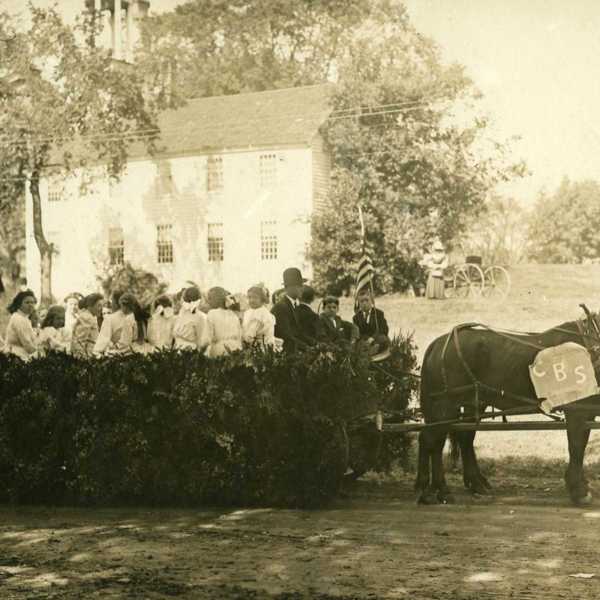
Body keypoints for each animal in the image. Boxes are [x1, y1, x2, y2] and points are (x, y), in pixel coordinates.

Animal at [414, 316, 600, 504]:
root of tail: (439, 343)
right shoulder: (577, 411)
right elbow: (577, 446)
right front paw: (579, 490)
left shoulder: (588, 411)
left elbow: (580, 445)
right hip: (445, 405)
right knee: (432, 440)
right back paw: (436, 491)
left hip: (470, 403)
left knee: (457, 438)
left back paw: (469, 484)